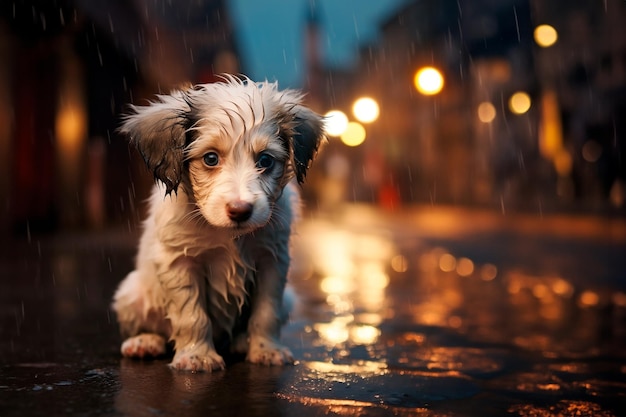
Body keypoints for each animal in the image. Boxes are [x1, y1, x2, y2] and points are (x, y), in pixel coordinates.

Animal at [112, 77, 324, 370]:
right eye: (210, 158)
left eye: (265, 160)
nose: (240, 210)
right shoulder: (180, 263)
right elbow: (192, 315)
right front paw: (196, 355)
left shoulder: (272, 261)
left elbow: (266, 312)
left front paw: (266, 349)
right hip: (130, 294)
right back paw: (145, 342)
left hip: (289, 298)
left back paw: (241, 342)